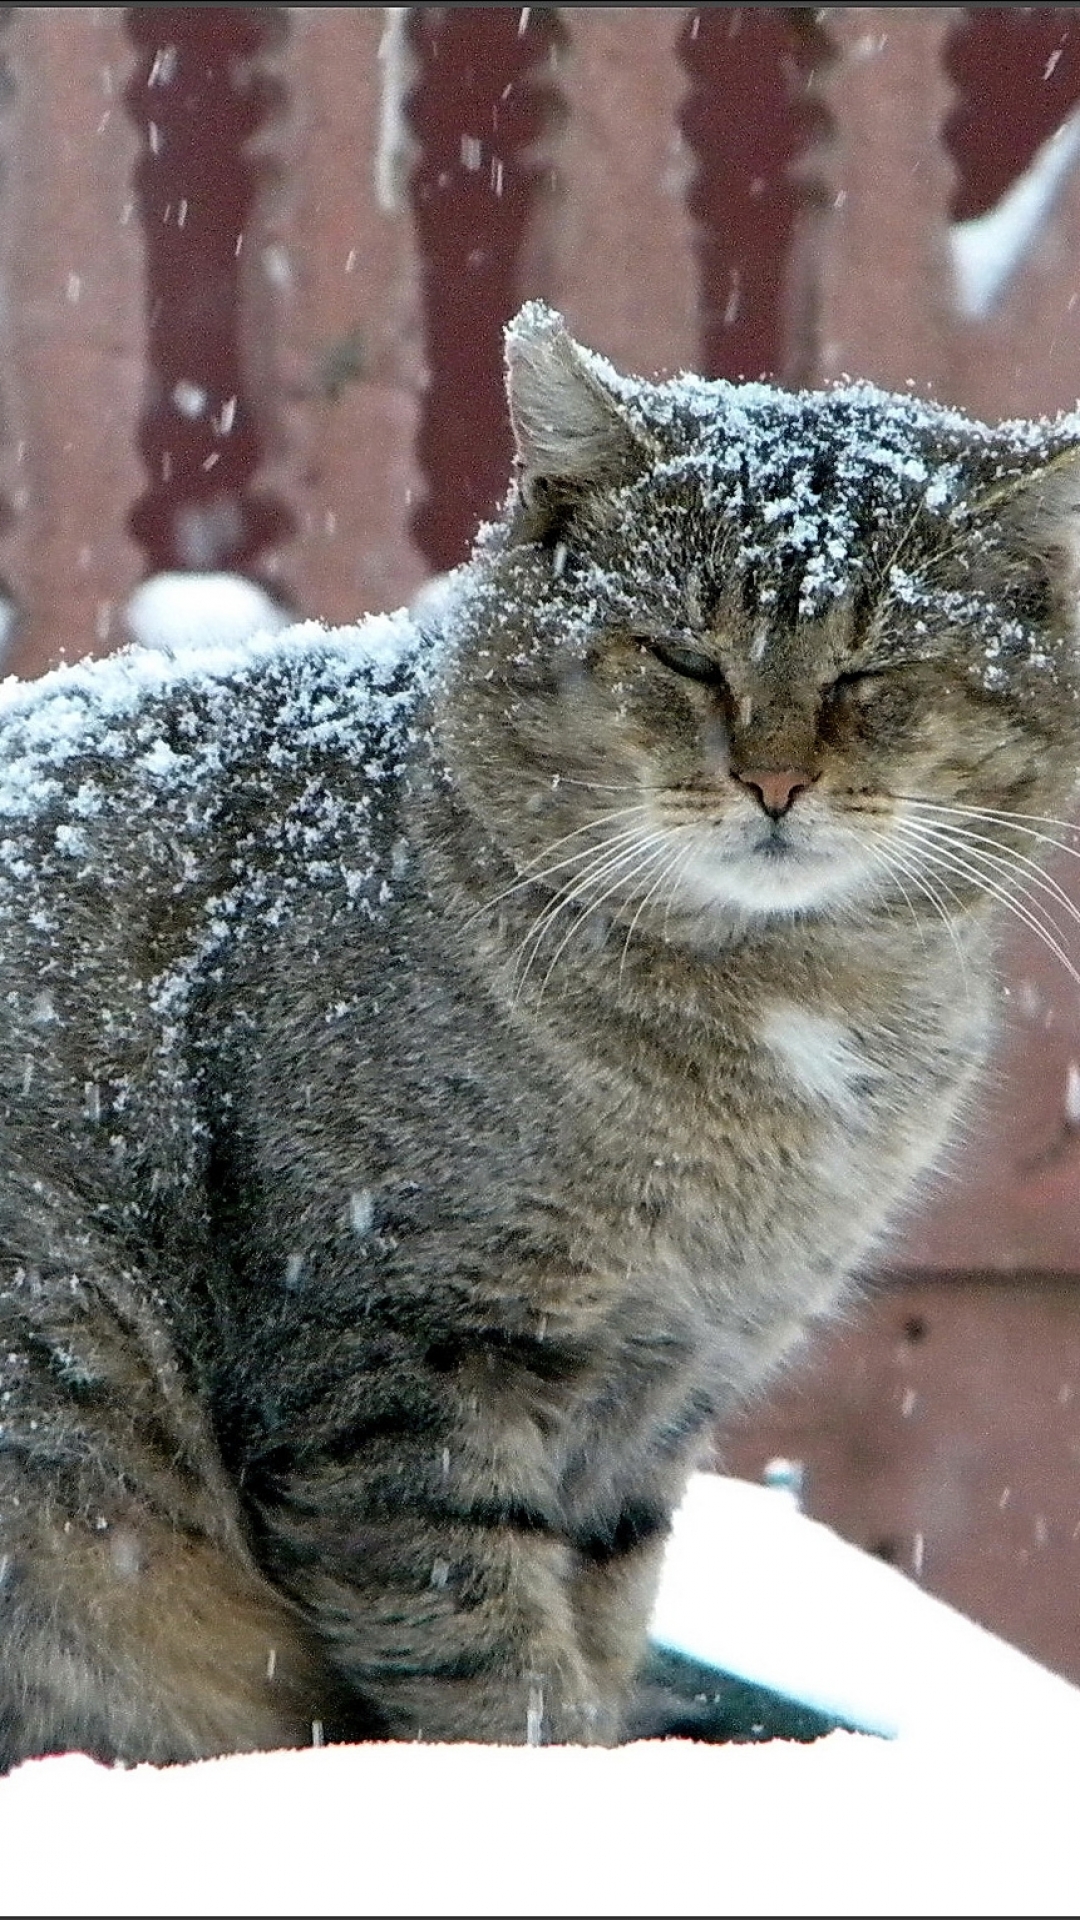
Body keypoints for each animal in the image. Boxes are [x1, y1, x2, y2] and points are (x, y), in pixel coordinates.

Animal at [2, 303, 1076, 1766]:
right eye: (682, 655)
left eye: (873, 673)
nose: (774, 779)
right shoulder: (402, 1351)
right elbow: (477, 1640)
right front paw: (542, 1777)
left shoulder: (665, 1396)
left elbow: (601, 1606)